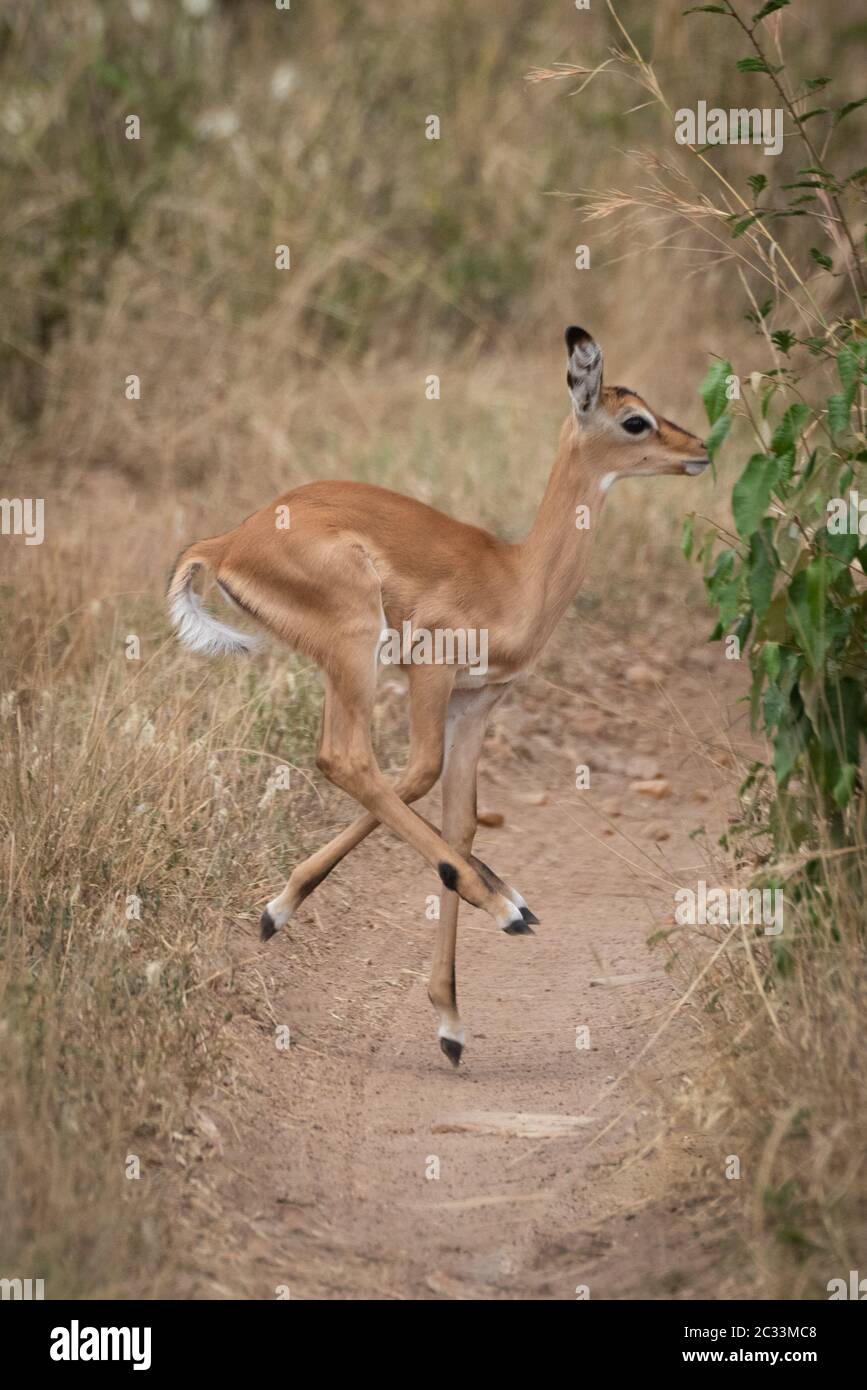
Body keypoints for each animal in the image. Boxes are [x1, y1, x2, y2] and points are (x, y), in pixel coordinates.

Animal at [166, 325, 708, 1061]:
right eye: (634, 420)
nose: (699, 449)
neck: (517, 576)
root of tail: (230, 542)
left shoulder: (477, 702)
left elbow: (460, 818)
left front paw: (450, 1022)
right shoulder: (433, 675)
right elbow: (419, 778)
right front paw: (505, 908)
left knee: (358, 767)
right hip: (355, 649)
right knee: (346, 759)